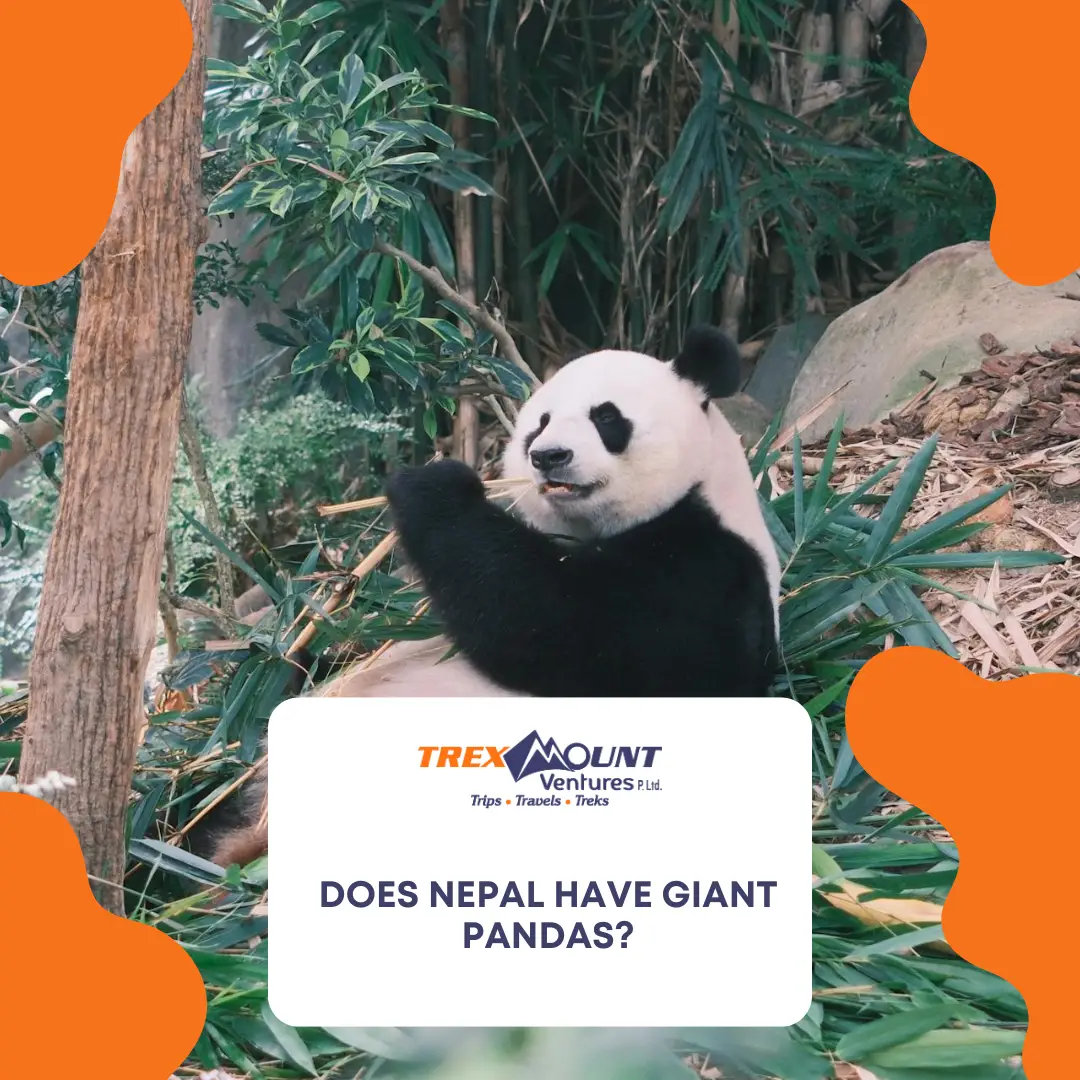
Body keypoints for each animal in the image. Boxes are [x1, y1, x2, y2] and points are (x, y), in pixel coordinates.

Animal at [204, 325, 780, 865]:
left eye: (607, 418)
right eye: (540, 423)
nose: (549, 456)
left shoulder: (704, 576)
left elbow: (553, 624)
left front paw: (433, 485)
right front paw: (287, 643)